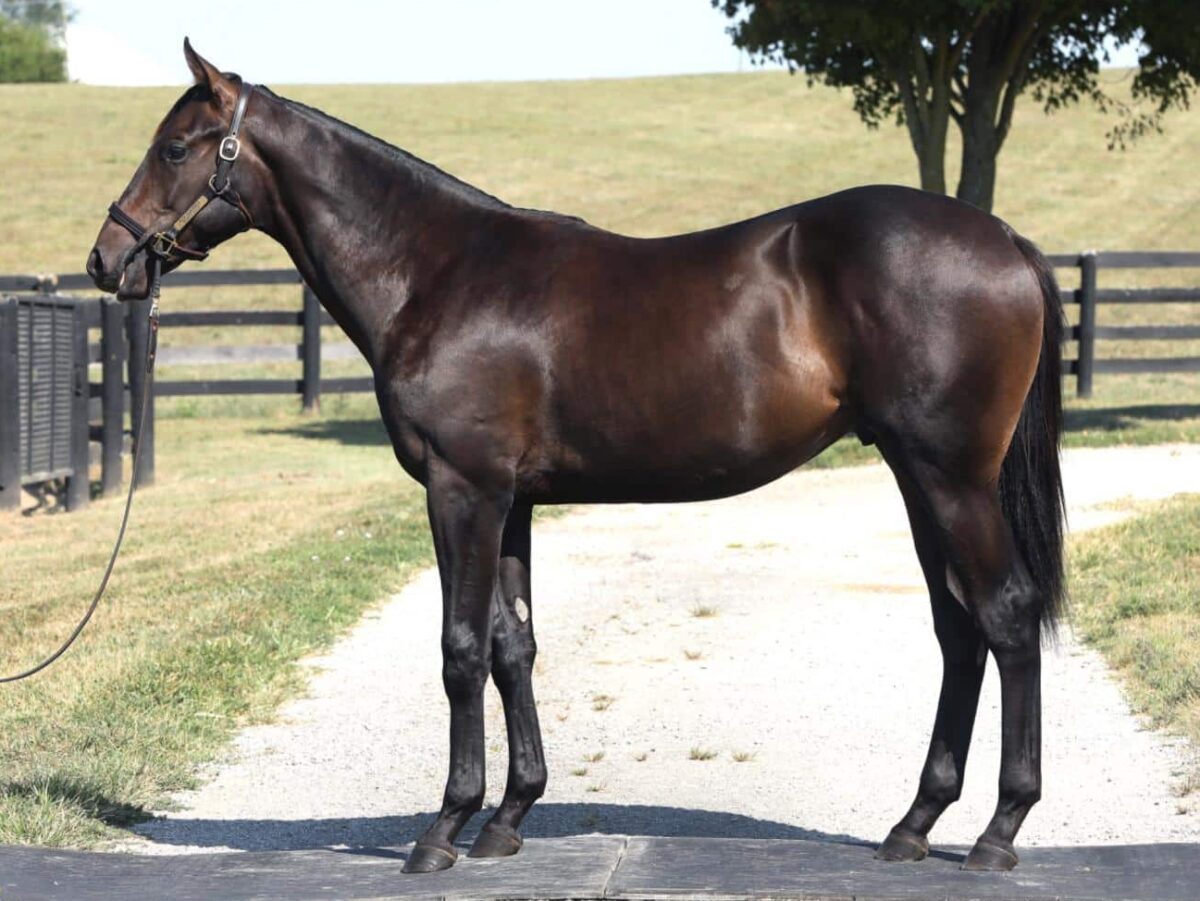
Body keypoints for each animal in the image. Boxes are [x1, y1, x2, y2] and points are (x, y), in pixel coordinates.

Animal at [91, 42, 1070, 873]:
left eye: (174, 147)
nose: (107, 260)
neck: (437, 273)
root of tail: (1007, 241)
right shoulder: (512, 500)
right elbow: (512, 644)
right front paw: (508, 817)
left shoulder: (463, 490)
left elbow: (458, 648)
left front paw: (444, 828)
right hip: (916, 476)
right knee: (958, 629)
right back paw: (914, 824)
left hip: (951, 478)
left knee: (1007, 615)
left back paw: (998, 831)